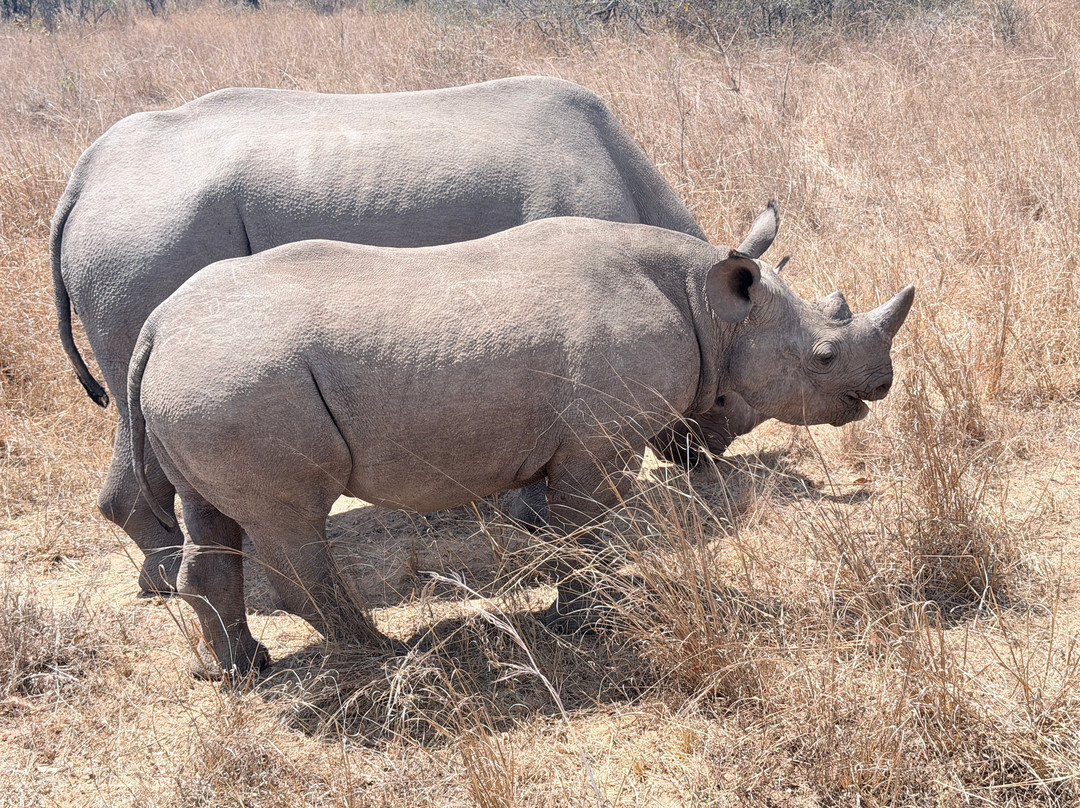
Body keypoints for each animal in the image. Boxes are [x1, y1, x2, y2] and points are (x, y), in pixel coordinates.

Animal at [52, 75, 759, 595]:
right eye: (720, 397)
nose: (700, 454)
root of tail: (82, 183)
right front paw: (533, 521)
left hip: (138, 243)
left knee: (132, 410)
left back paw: (167, 584)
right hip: (148, 240)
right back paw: (177, 582)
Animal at [128, 210, 914, 680]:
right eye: (823, 357)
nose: (881, 384)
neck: (709, 303)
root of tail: (159, 325)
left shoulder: (569, 439)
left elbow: (564, 528)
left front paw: (586, 608)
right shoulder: (599, 442)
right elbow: (585, 529)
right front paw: (592, 622)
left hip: (203, 379)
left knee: (211, 517)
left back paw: (237, 670)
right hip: (241, 380)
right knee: (290, 525)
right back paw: (387, 655)